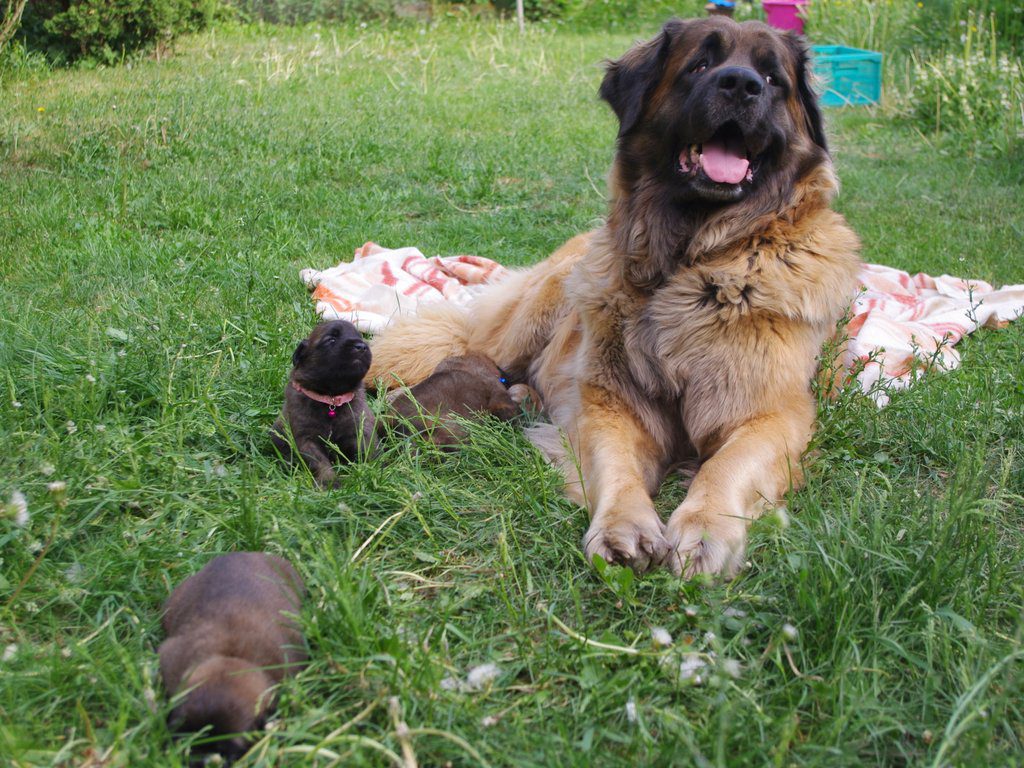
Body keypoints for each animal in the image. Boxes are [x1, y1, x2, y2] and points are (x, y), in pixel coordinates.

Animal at [272, 319, 376, 487]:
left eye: (360, 336)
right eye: (331, 340)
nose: (361, 346)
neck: (331, 398)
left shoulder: (358, 429)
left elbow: (365, 450)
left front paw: (370, 470)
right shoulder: (306, 438)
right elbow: (319, 462)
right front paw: (329, 481)